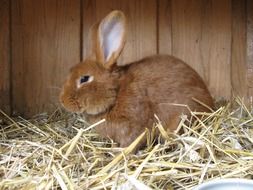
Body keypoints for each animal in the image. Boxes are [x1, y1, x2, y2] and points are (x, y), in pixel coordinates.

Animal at [59, 10, 213, 148]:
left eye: (84, 78)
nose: (63, 101)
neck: (116, 93)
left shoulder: (134, 123)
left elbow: (133, 141)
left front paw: (118, 152)